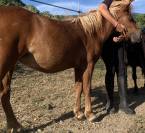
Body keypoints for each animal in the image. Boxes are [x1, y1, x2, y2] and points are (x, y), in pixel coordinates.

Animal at [0, 0, 141, 131]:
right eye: (130, 17)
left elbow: (78, 88)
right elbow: (87, 88)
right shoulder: (89, 65)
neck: (90, 32)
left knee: (5, 94)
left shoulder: (79, 67)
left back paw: (15, 126)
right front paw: (90, 115)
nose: (139, 36)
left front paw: (78, 114)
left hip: (10, 67)